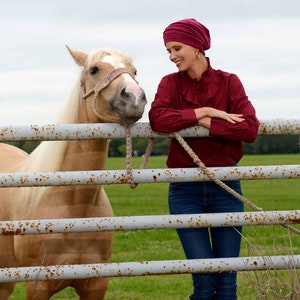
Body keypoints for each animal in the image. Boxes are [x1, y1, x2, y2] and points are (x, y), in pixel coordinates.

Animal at [0, 45, 146, 298]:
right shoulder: (38, 285)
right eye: (94, 69)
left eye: (134, 70)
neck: (76, 207)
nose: (135, 95)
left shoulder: (96, 284)